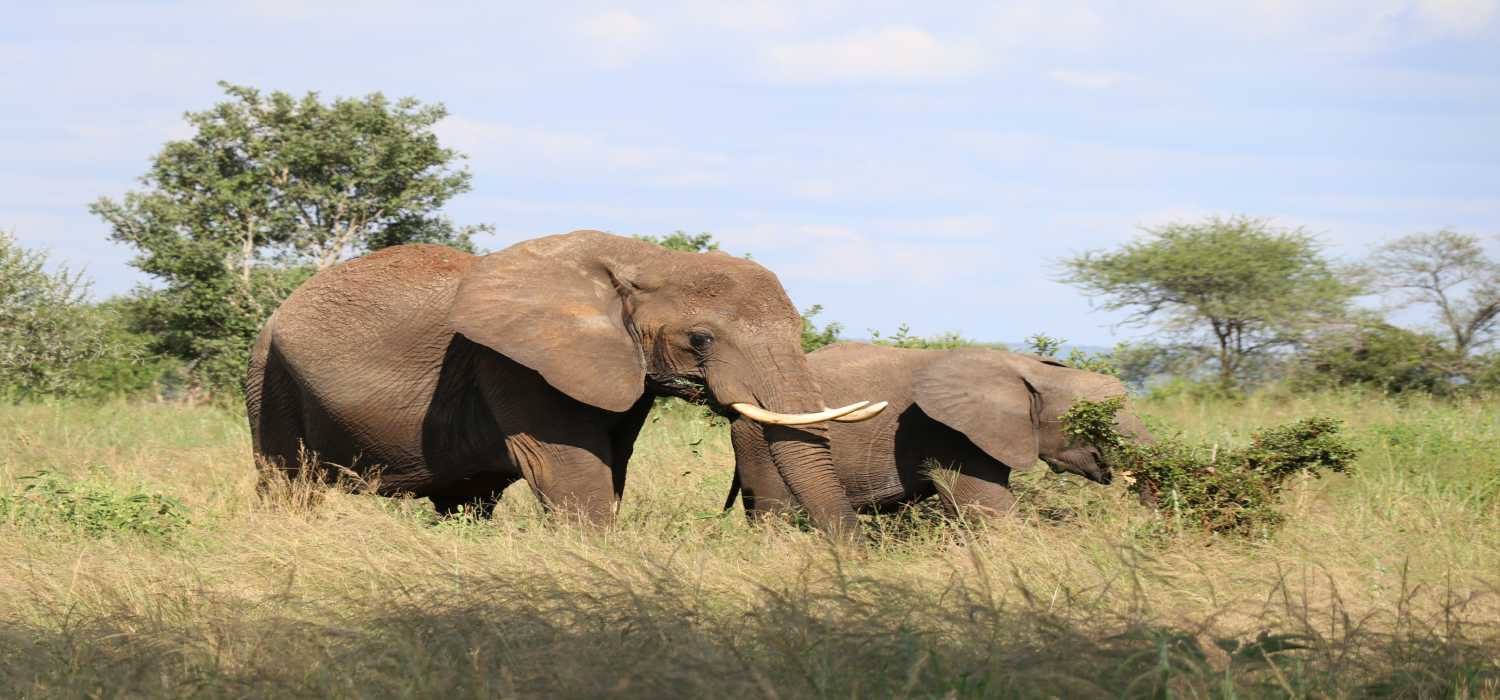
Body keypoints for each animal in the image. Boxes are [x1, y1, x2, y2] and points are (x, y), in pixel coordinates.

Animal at [241, 232, 882, 539]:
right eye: (700, 339)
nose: (852, 558)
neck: (646, 259)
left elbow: (610, 461)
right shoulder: (512, 363)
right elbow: (568, 465)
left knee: (466, 500)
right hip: (269, 378)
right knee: (286, 482)